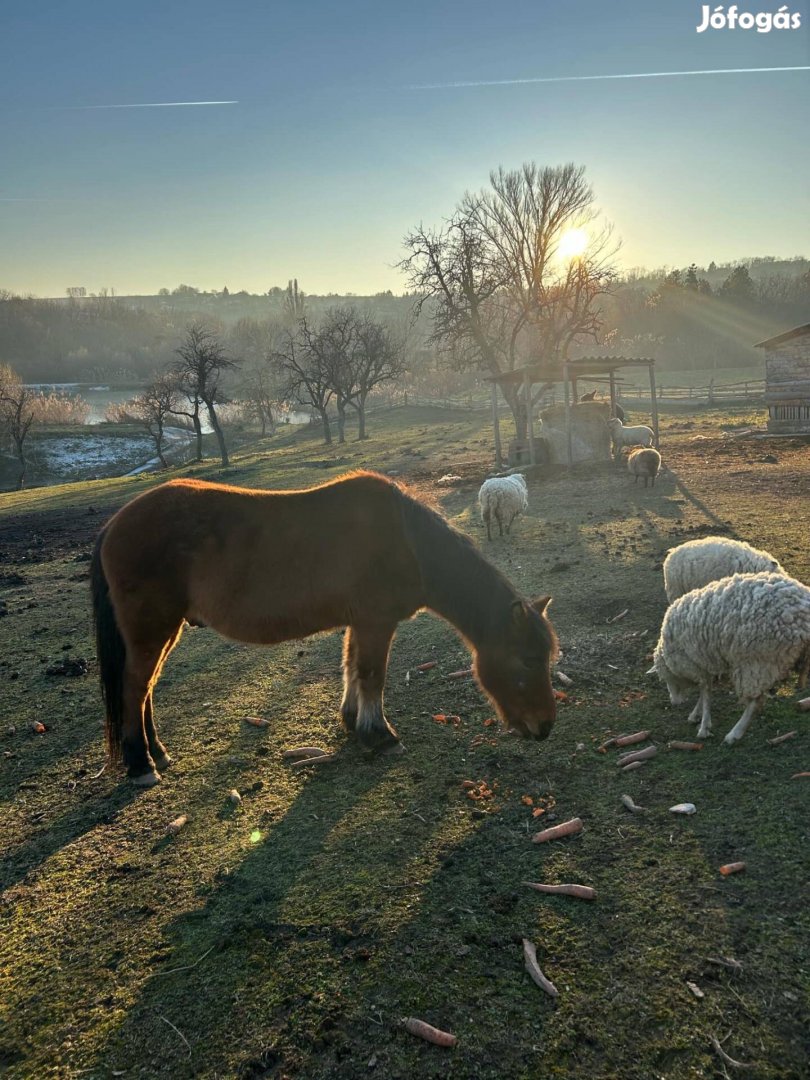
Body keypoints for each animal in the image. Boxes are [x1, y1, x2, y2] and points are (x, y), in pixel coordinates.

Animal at [88, 473, 557, 786]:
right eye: (526, 661)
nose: (544, 728)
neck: (406, 542)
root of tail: (114, 524)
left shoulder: (360, 621)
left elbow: (351, 668)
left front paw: (353, 723)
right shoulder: (376, 620)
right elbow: (372, 675)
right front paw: (379, 736)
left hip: (165, 631)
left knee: (146, 687)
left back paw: (157, 752)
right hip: (152, 628)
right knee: (135, 686)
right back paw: (141, 764)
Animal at [652, 574, 810, 743]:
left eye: (665, 678)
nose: (674, 702)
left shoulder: (698, 663)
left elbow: (705, 693)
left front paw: (704, 725)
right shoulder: (706, 664)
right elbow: (705, 690)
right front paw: (696, 715)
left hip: (758, 662)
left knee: (756, 702)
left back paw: (734, 734)